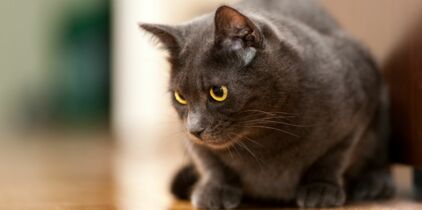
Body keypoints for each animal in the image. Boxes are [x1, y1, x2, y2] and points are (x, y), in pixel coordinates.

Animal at [140, 0, 394, 208]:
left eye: (218, 93)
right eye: (180, 97)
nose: (195, 129)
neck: (261, 139)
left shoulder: (360, 103)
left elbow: (336, 155)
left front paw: (322, 188)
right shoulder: (189, 138)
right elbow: (208, 160)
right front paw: (215, 190)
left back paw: (374, 184)